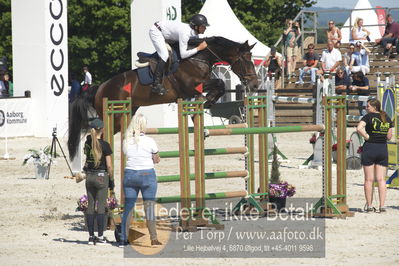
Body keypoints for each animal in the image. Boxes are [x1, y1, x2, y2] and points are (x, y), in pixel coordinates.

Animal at [69, 36, 260, 159]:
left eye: (252, 59)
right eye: (244, 60)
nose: (255, 85)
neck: (197, 58)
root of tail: (100, 87)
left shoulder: (191, 91)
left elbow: (215, 88)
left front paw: (206, 107)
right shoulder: (191, 85)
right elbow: (219, 83)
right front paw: (209, 101)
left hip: (124, 114)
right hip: (113, 113)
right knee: (97, 134)